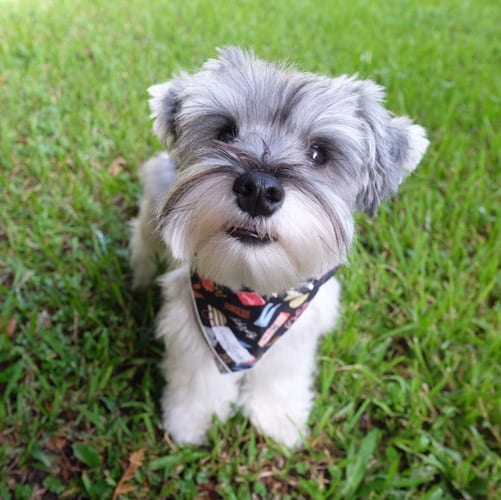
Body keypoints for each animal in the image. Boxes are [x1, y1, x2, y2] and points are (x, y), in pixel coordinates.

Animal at [128, 46, 426, 446]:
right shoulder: (192, 322)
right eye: (225, 133)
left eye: (318, 153)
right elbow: (199, 379)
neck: (252, 294)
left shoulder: (295, 328)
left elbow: (279, 376)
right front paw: (192, 420)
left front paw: (276, 419)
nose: (258, 190)